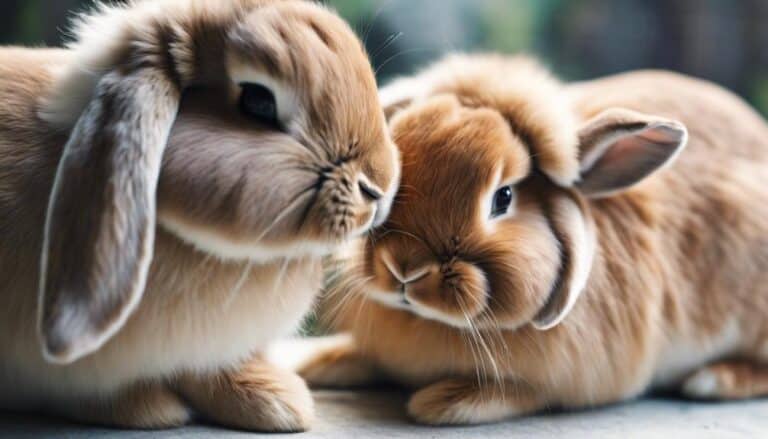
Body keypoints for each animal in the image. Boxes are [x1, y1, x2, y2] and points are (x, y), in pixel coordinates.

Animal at [295, 54, 768, 425]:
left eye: (503, 198)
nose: (405, 268)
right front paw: (316, 361)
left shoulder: (565, 381)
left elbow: (522, 393)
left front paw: (444, 401)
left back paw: (713, 380)